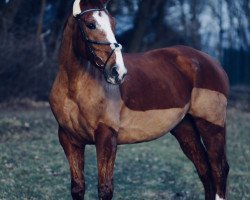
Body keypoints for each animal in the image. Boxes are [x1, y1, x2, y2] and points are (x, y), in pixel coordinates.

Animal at [49, 0, 230, 199]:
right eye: (90, 24)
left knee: (219, 168)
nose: (118, 72)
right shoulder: (69, 140)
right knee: (204, 169)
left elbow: (105, 188)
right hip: (185, 128)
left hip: (211, 125)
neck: (73, 87)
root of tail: (212, 62)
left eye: (113, 23)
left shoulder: (106, 137)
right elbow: (78, 187)